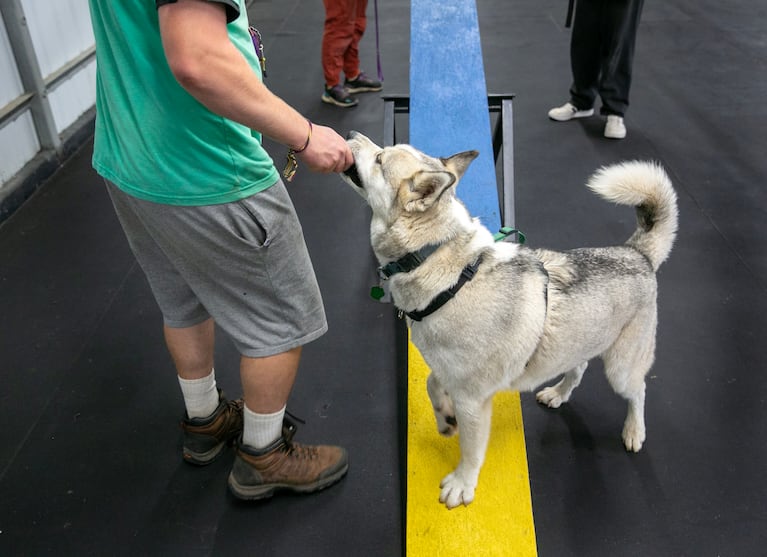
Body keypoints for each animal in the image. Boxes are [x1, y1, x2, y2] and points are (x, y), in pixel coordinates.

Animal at [342, 131, 680, 508]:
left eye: (380, 160)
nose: (352, 136)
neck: (441, 265)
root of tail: (637, 253)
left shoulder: (473, 400)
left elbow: (471, 449)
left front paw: (462, 484)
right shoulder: (449, 372)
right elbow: (431, 384)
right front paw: (445, 419)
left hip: (621, 368)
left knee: (638, 391)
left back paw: (634, 431)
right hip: (577, 342)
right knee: (578, 367)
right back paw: (558, 394)